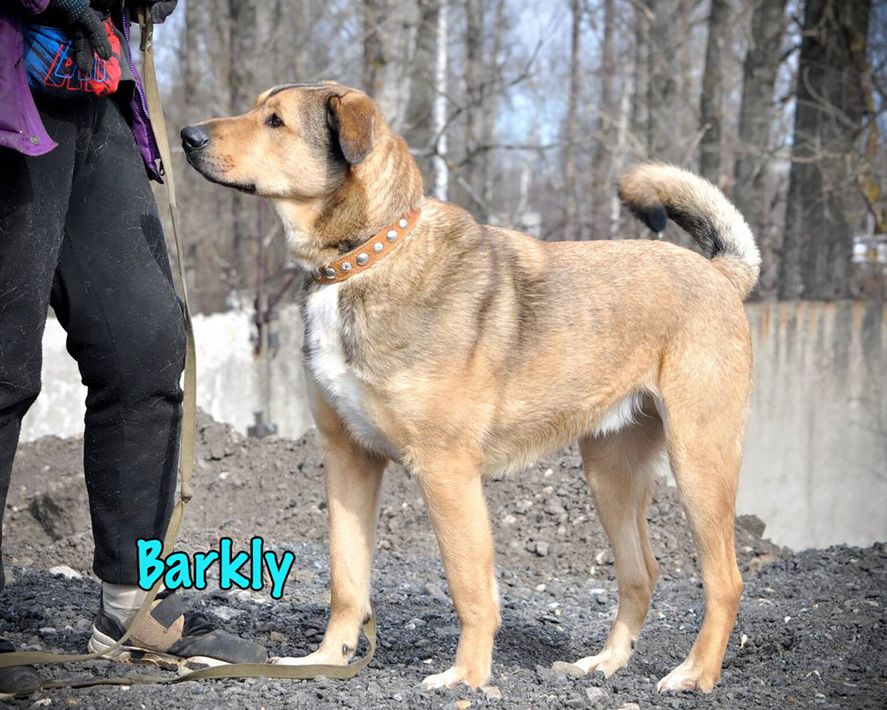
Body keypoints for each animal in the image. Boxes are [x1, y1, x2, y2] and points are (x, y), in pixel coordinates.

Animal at [181, 81, 760, 693]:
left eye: (275, 121)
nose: (186, 136)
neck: (364, 256)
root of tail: (720, 274)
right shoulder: (348, 459)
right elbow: (346, 579)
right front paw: (327, 660)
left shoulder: (446, 470)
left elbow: (469, 587)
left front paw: (467, 676)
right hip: (611, 472)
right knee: (640, 574)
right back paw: (604, 664)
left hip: (699, 461)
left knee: (725, 580)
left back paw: (694, 674)